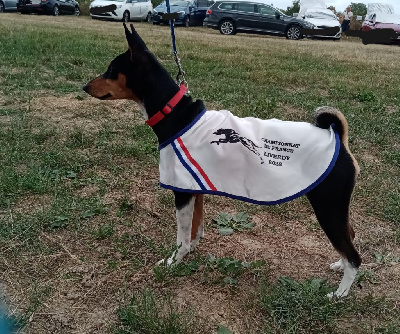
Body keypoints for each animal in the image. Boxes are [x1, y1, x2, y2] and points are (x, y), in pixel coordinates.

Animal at [83, 23, 360, 298]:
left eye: (111, 70)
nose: (84, 86)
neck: (176, 115)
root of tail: (337, 138)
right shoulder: (194, 188)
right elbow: (195, 228)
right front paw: (190, 251)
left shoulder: (181, 192)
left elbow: (182, 237)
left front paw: (173, 261)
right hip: (336, 210)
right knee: (350, 237)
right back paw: (338, 266)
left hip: (328, 208)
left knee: (354, 257)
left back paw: (339, 294)